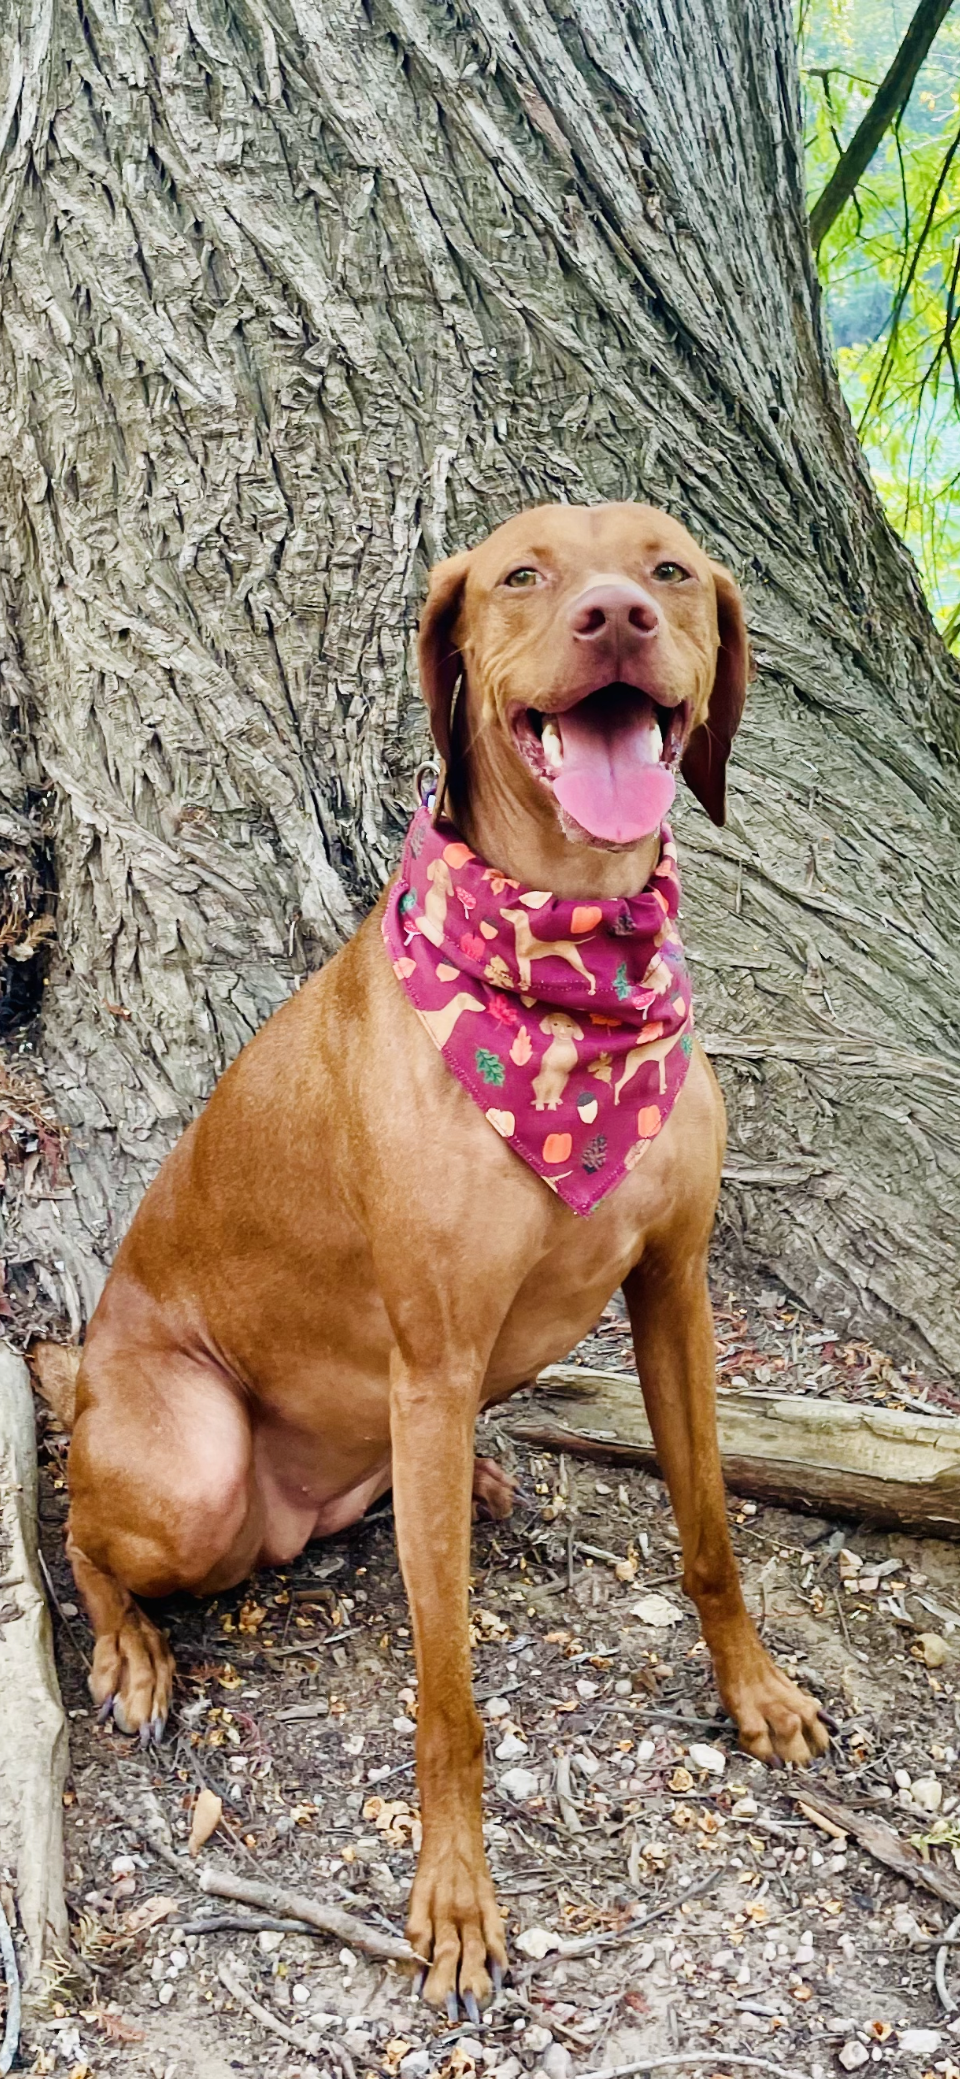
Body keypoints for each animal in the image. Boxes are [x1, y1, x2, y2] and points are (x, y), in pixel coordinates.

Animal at [67, 498, 827, 2012]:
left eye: (667, 567)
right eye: (522, 572)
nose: (613, 616)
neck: (569, 979)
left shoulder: (674, 1292)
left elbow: (712, 1532)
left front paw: (754, 1691)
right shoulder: (431, 1355)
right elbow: (449, 1691)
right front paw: (459, 1898)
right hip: (192, 1464)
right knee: (69, 1521)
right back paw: (127, 1648)